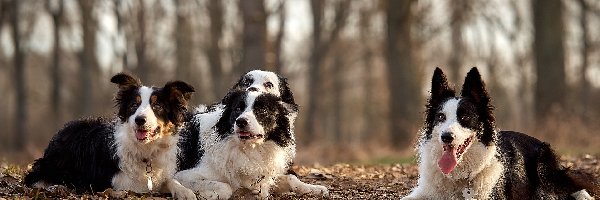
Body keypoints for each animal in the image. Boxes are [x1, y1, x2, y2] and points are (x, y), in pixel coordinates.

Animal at [173, 90, 328, 199]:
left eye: (262, 110)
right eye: (237, 109)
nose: (241, 121)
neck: (248, 148)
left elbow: (291, 178)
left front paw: (315, 188)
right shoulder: (184, 175)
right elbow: (225, 187)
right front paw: (207, 195)